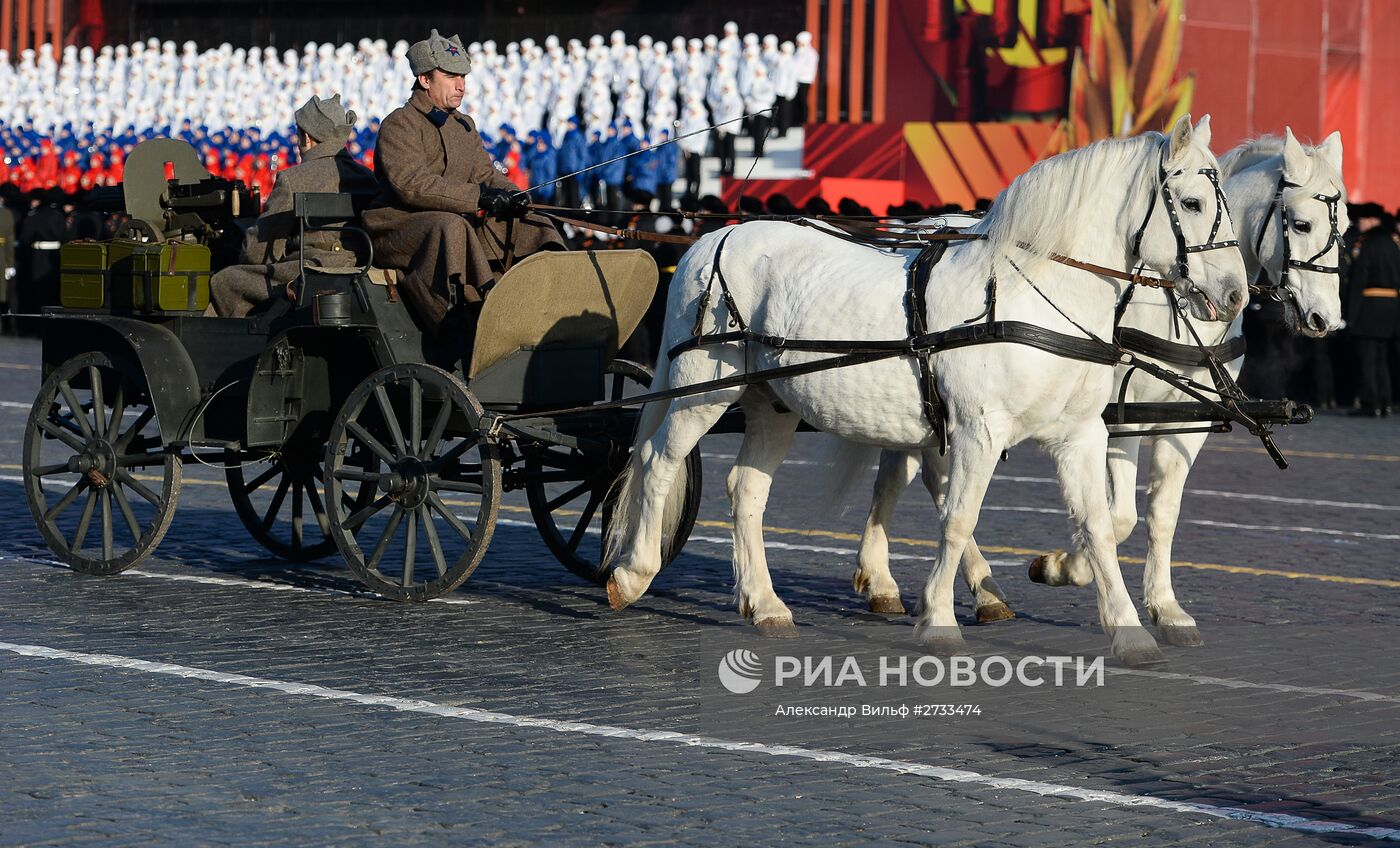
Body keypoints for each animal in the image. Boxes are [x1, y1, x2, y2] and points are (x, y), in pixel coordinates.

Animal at [602, 116, 1248, 668]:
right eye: (1192, 202)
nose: (1237, 293)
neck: (1036, 294)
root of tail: (716, 236)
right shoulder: (978, 431)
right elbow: (958, 518)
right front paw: (938, 618)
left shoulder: (1081, 435)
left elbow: (1098, 525)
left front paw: (1129, 626)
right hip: (702, 388)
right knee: (658, 460)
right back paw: (634, 573)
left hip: (772, 402)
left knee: (746, 490)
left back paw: (764, 604)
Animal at [851, 125, 1344, 649]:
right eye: (1302, 224)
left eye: (1346, 228)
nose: (1326, 319)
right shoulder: (1118, 418)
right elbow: (1118, 516)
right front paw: (1063, 567)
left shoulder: (1186, 424)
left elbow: (1162, 514)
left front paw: (1165, 607)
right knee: (923, 480)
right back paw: (910, 584)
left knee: (906, 473)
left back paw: (934, 587)